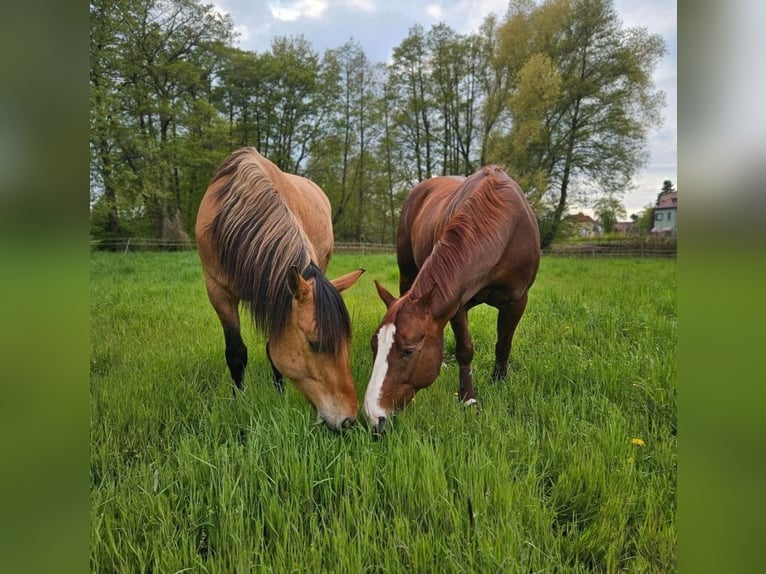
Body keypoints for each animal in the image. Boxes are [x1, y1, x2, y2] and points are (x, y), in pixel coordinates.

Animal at [198, 148, 366, 432]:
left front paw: (280, 395)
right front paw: (239, 402)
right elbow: (236, 352)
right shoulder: (218, 290)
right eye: (315, 343)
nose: (349, 420)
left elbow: (271, 349)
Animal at [364, 165, 540, 432]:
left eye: (408, 351)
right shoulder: (457, 302)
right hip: (407, 271)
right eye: (374, 345)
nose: (374, 416)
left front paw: (497, 384)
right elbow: (464, 349)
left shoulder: (517, 301)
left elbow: (504, 343)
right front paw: (469, 398)